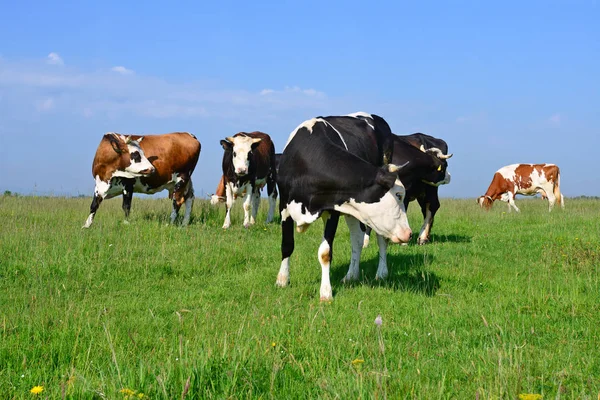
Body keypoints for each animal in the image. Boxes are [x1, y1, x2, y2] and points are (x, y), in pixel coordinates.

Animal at [276, 112, 412, 300]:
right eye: (399, 195)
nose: (409, 233)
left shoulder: (333, 210)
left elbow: (325, 252)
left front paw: (326, 292)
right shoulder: (284, 205)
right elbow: (287, 244)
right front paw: (282, 279)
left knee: (381, 238)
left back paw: (381, 273)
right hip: (354, 210)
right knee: (357, 239)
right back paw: (351, 275)